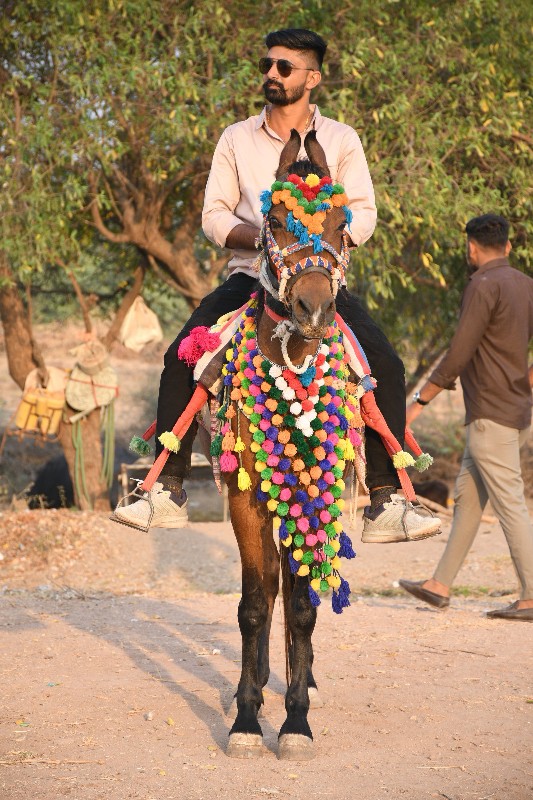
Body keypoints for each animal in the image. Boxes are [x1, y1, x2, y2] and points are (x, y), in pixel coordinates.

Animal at [124, 131, 432, 764]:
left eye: (342, 222)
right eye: (271, 220)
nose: (313, 309)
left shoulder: (320, 487)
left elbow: (302, 603)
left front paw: (296, 721)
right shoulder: (246, 497)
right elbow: (254, 602)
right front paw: (247, 719)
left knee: (296, 589)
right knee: (269, 585)